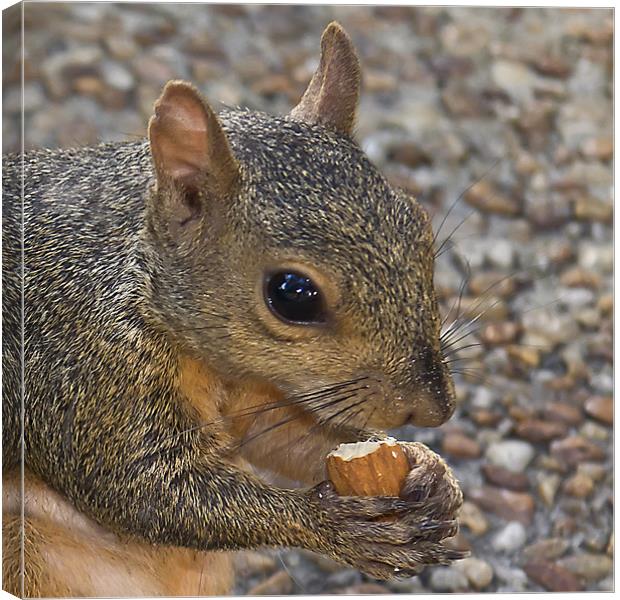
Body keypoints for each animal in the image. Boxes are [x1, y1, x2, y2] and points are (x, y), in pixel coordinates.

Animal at [2, 22, 462, 596]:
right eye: (292, 294)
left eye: (417, 222)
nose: (435, 410)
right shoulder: (80, 374)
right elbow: (145, 489)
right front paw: (336, 526)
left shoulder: (259, 390)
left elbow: (286, 438)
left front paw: (430, 469)